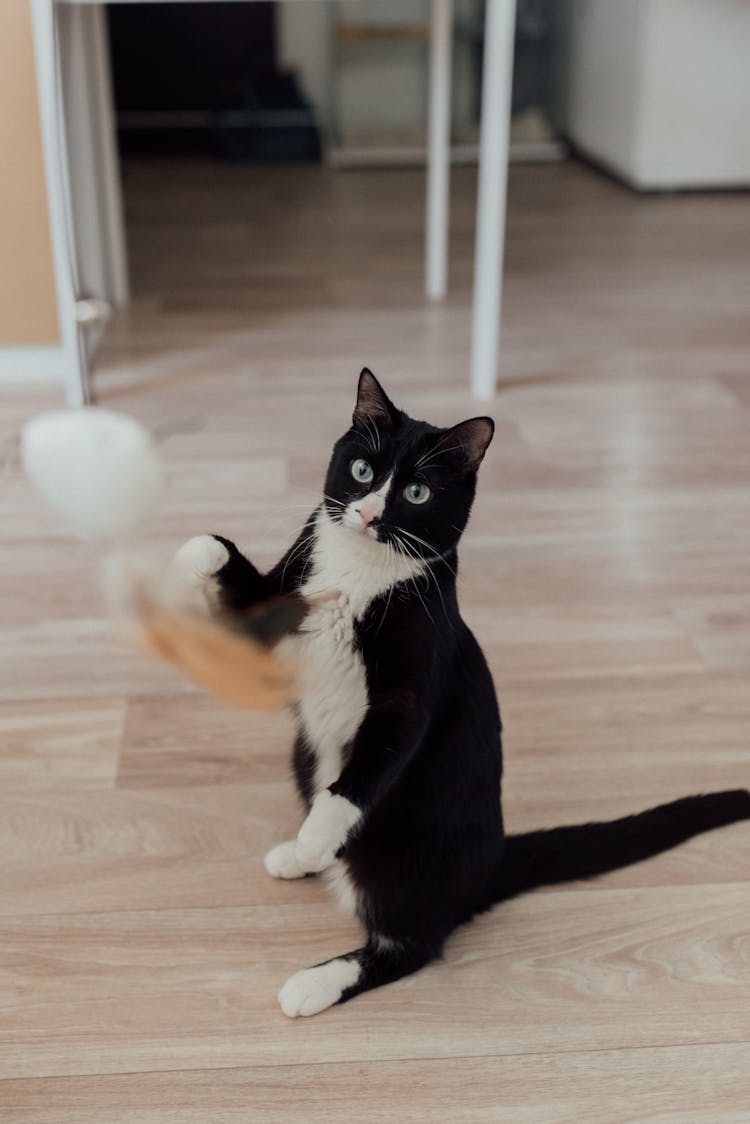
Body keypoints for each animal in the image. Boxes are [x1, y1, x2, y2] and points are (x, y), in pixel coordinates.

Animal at [169, 370, 750, 1020]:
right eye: (363, 470)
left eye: (417, 492)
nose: (368, 513)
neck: (360, 572)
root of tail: (490, 862)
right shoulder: (287, 609)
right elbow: (223, 564)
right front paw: (182, 559)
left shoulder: (411, 689)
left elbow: (369, 766)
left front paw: (319, 839)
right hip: (303, 757)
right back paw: (292, 854)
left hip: (406, 853)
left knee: (412, 942)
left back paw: (313, 969)